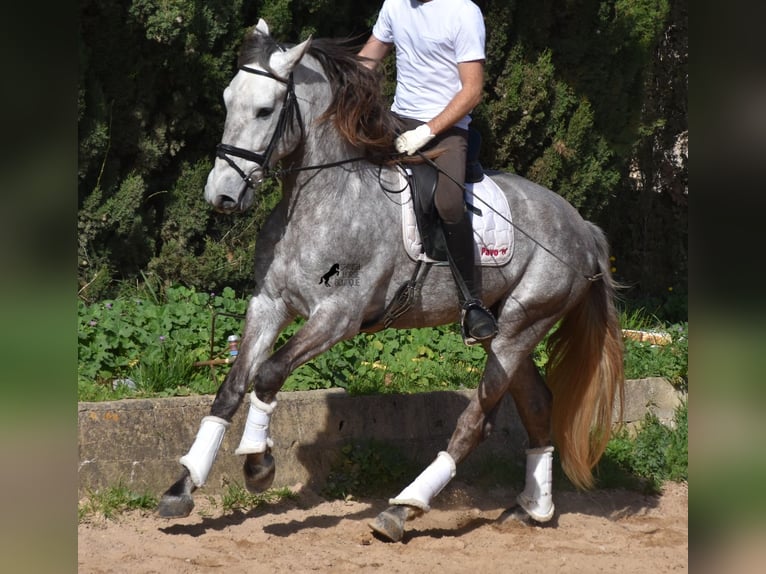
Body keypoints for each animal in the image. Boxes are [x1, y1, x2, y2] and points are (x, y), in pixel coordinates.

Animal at [159, 20, 628, 544]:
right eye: (227, 101)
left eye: (264, 109)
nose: (220, 195)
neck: (320, 199)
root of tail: (581, 225)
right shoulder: (269, 304)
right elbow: (233, 385)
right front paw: (183, 487)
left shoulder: (337, 316)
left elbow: (269, 373)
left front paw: (258, 464)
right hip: (508, 329)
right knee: (538, 404)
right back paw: (535, 506)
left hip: (520, 326)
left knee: (475, 421)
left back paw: (403, 509)